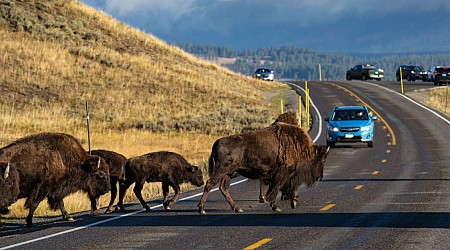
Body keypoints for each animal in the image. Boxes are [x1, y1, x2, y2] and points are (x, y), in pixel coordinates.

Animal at [199, 122, 328, 214]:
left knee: (223, 188)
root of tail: (217, 142)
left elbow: (282, 188)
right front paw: (276, 205)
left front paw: (289, 203)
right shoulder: (284, 174)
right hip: (221, 170)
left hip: (228, 172)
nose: (320, 177)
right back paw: (202, 209)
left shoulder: (284, 175)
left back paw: (237, 208)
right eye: (323, 160)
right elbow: (277, 188)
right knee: (209, 184)